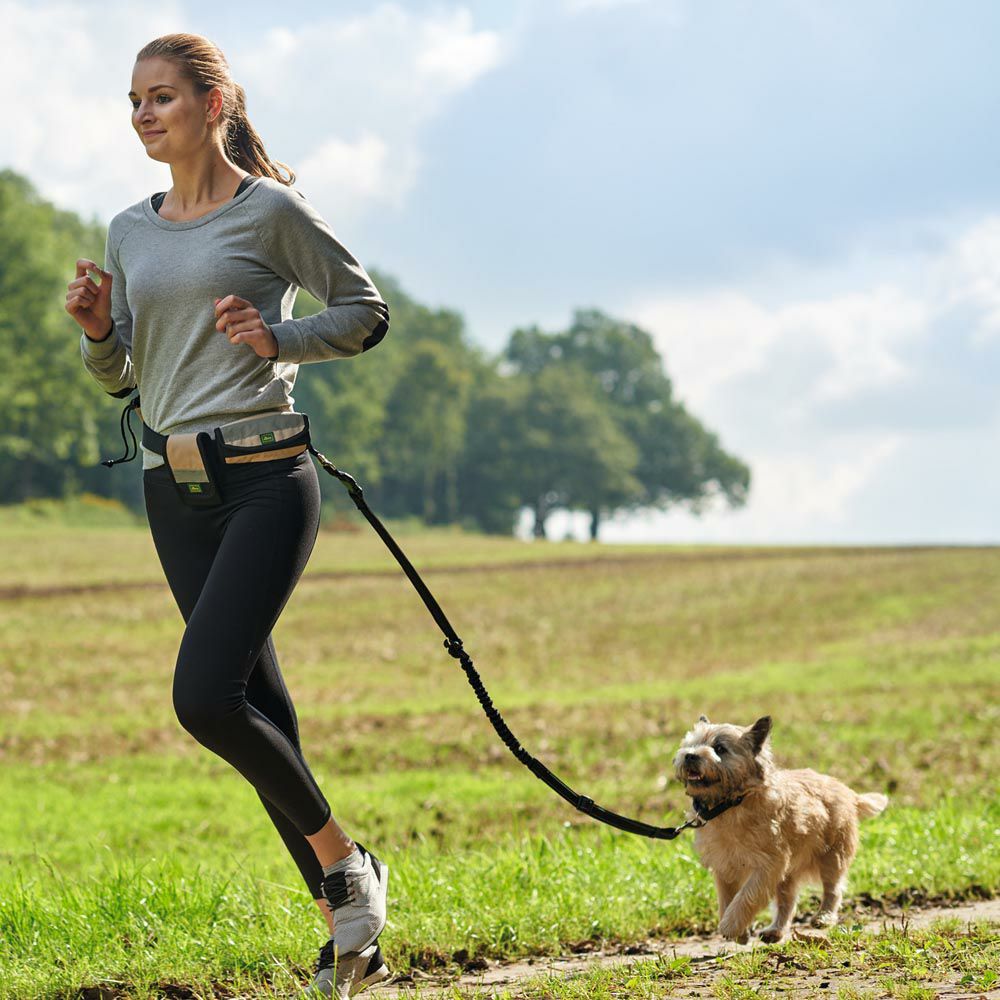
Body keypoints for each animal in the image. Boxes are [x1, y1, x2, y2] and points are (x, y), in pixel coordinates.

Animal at [676, 716, 888, 940]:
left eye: (719, 748)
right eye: (691, 744)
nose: (690, 755)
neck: (730, 804)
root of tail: (847, 791)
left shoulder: (768, 866)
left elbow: (746, 895)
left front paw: (731, 925)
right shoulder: (725, 867)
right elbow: (727, 899)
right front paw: (740, 932)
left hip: (832, 857)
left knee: (833, 889)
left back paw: (824, 917)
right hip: (790, 873)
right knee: (788, 901)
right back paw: (775, 930)